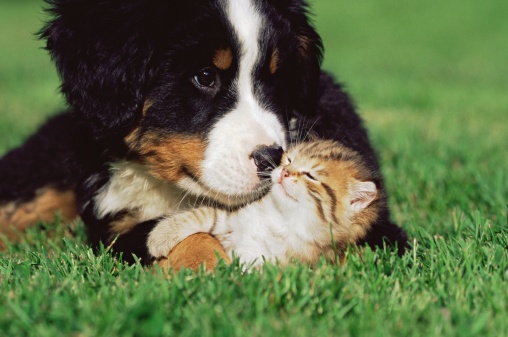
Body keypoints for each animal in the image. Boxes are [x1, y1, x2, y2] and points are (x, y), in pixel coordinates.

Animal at [149, 139, 382, 268]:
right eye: (289, 160)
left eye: (310, 176)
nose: (285, 172)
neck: (280, 218)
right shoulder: (234, 219)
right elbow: (206, 214)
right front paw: (160, 236)